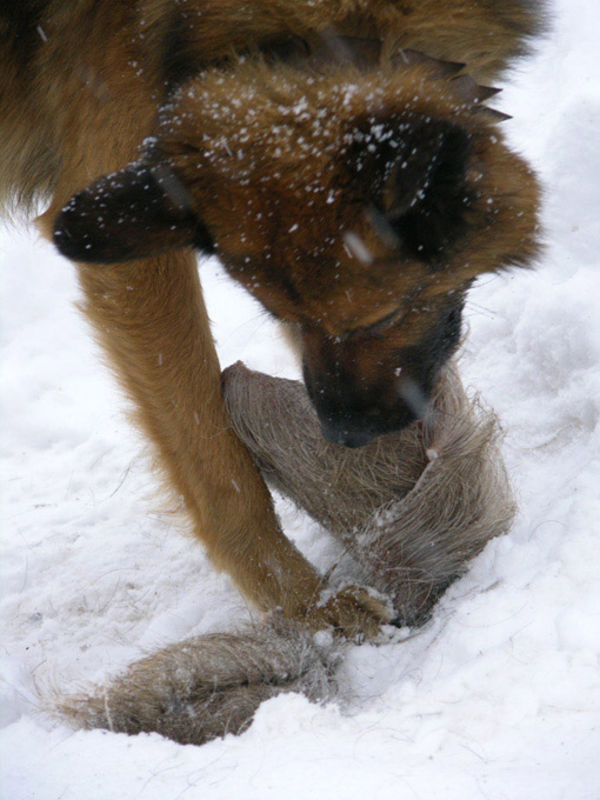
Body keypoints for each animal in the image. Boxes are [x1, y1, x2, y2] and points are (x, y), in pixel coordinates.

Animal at [0, 0, 544, 638]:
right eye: (275, 310)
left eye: (379, 318)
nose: (345, 434)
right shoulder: (125, 222)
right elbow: (214, 458)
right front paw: (309, 609)